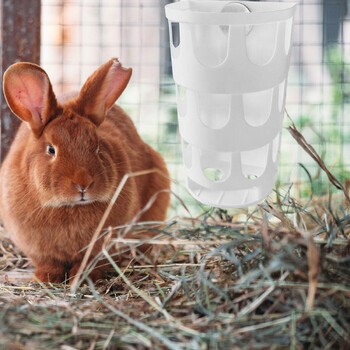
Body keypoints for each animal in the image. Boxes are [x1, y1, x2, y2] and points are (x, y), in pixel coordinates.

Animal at [0, 58, 170, 284]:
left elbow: (90, 263)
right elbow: (49, 263)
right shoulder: (38, 250)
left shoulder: (100, 247)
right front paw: (45, 278)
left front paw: (81, 279)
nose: (83, 184)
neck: (69, 207)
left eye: (97, 146)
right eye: (51, 149)